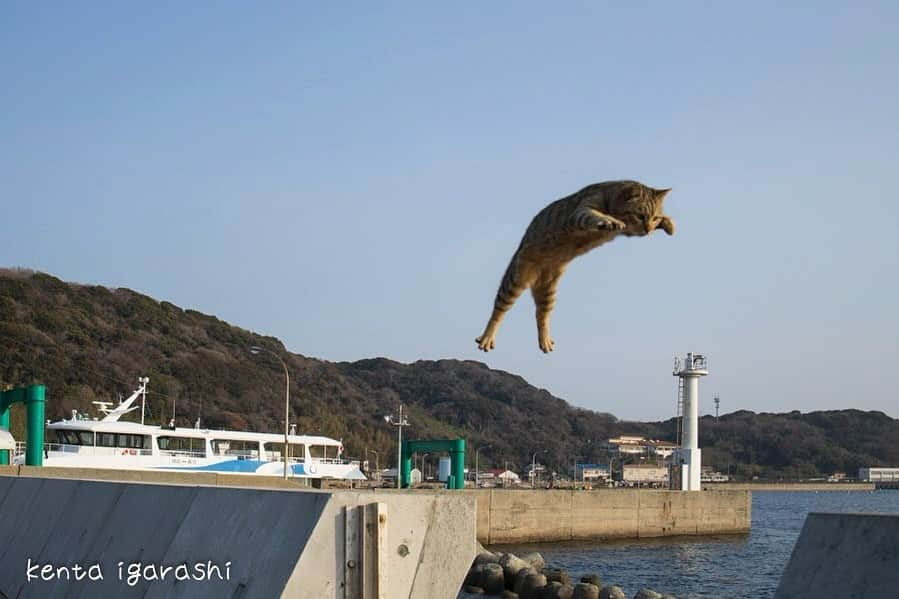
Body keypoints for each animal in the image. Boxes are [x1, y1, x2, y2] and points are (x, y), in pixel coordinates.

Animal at [478, 180, 676, 354]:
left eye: (654, 217)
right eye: (640, 216)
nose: (648, 230)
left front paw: (668, 223)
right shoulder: (582, 211)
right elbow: (594, 215)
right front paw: (609, 220)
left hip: (548, 290)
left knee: (541, 315)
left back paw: (544, 340)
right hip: (516, 278)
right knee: (499, 309)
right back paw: (486, 337)